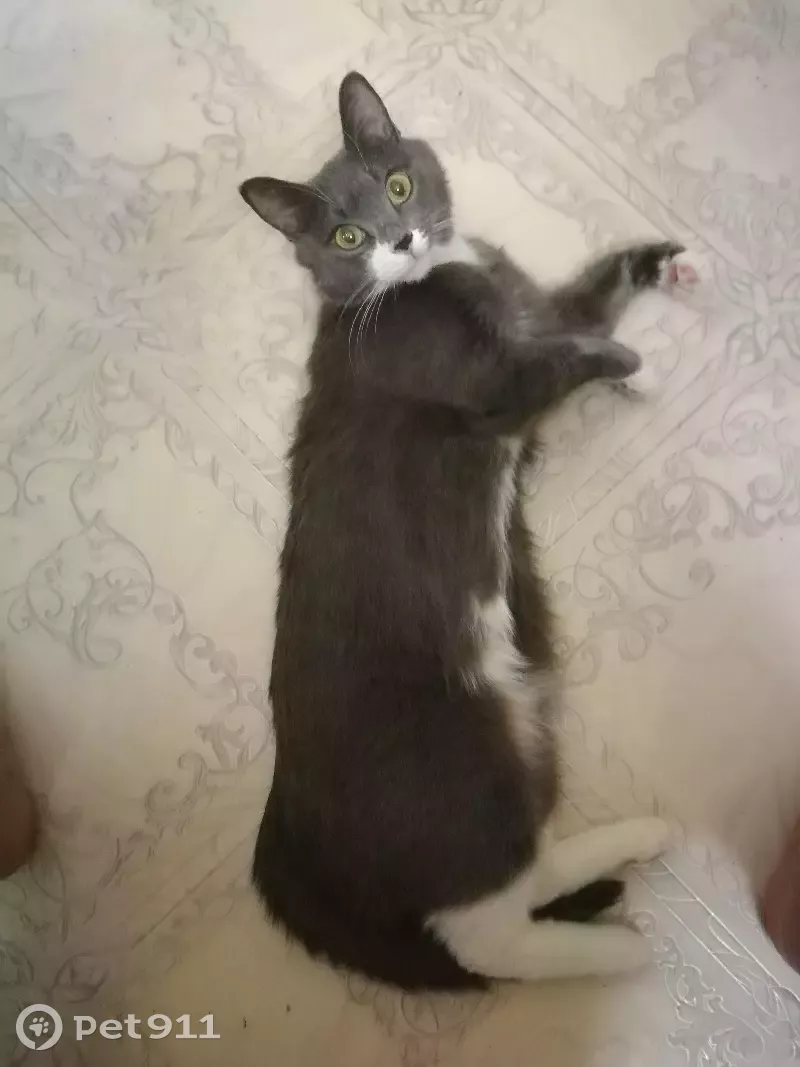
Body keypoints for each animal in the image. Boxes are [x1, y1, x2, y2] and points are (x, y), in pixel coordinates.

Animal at [240, 71, 683, 991]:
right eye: (346, 234)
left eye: (399, 183)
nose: (402, 238)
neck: (435, 277)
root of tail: (284, 813)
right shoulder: (489, 380)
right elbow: (566, 354)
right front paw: (635, 369)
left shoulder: (532, 301)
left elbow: (583, 302)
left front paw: (659, 261)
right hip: (456, 766)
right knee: (484, 929)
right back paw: (621, 947)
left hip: (514, 739)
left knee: (529, 867)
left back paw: (638, 839)